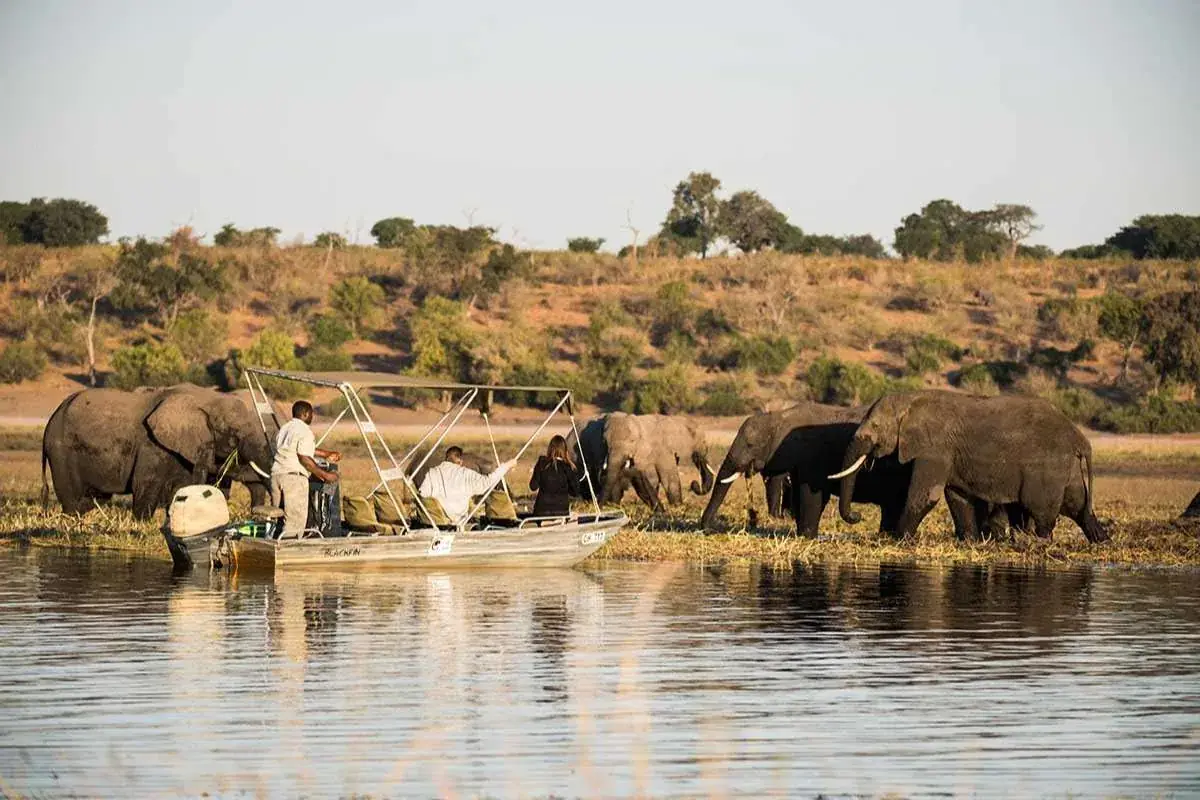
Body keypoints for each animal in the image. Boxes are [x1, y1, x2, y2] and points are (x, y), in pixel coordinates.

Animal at [42, 384, 276, 519]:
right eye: (235, 435)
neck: (205, 399)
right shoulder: (151, 444)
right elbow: (145, 484)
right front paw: (142, 522)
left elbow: (182, 488)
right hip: (61, 451)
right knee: (72, 498)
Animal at [567, 413, 713, 509]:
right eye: (605, 441)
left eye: (633, 441)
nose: (694, 484)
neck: (676, 421)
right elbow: (668, 478)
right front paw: (677, 506)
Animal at [835, 390, 1107, 543]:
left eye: (876, 426)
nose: (857, 516)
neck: (910, 400)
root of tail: (1079, 437)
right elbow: (958, 497)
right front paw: (969, 542)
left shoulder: (935, 448)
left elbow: (926, 495)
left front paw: (898, 539)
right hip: (1065, 467)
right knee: (1077, 503)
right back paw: (1102, 540)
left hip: (1047, 467)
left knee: (1041, 510)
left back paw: (1039, 542)